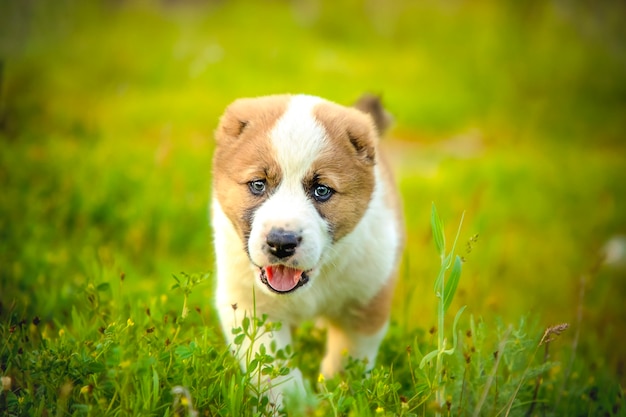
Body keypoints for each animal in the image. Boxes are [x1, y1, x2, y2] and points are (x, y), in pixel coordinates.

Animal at [212, 93, 402, 404]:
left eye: (321, 190)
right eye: (258, 184)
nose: (281, 242)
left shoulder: (365, 303)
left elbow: (347, 363)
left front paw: (337, 397)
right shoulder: (249, 305)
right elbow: (272, 369)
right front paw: (294, 402)